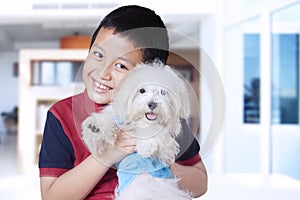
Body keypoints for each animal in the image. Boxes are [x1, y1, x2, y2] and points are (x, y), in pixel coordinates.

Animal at [81, 61, 192, 200]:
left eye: (163, 92)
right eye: (142, 90)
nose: (152, 104)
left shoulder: (167, 145)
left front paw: (145, 146)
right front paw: (95, 127)